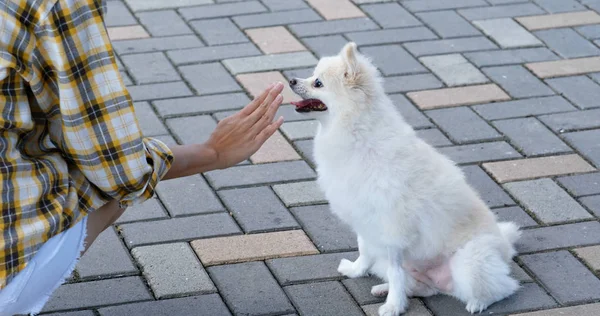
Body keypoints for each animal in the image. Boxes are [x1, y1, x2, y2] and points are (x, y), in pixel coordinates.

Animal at [290, 42, 520, 316]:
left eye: (318, 83)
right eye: (311, 76)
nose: (291, 80)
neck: (356, 133)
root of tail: (505, 247)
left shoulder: (392, 229)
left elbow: (395, 272)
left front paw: (393, 306)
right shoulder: (365, 219)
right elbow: (365, 250)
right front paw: (357, 271)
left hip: (468, 262)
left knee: (504, 287)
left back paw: (479, 302)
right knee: (425, 288)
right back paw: (385, 288)